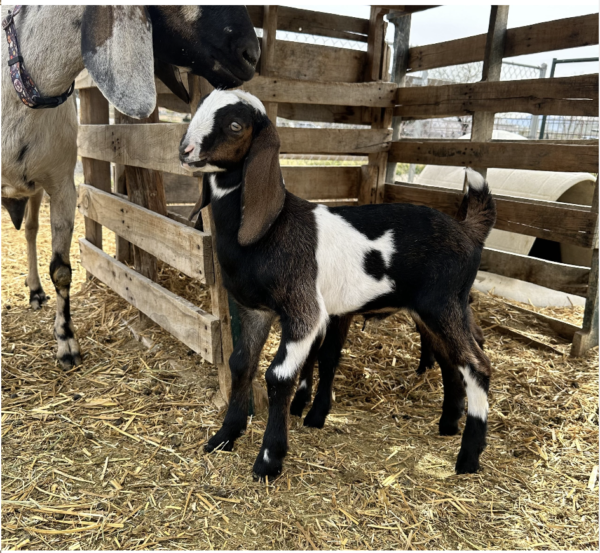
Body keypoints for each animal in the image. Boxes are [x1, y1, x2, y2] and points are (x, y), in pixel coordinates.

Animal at [1, 6, 260, 368]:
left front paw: (67, 343)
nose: (252, 55)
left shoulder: (62, 185)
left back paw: (36, 291)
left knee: (29, 230)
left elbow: (61, 271)